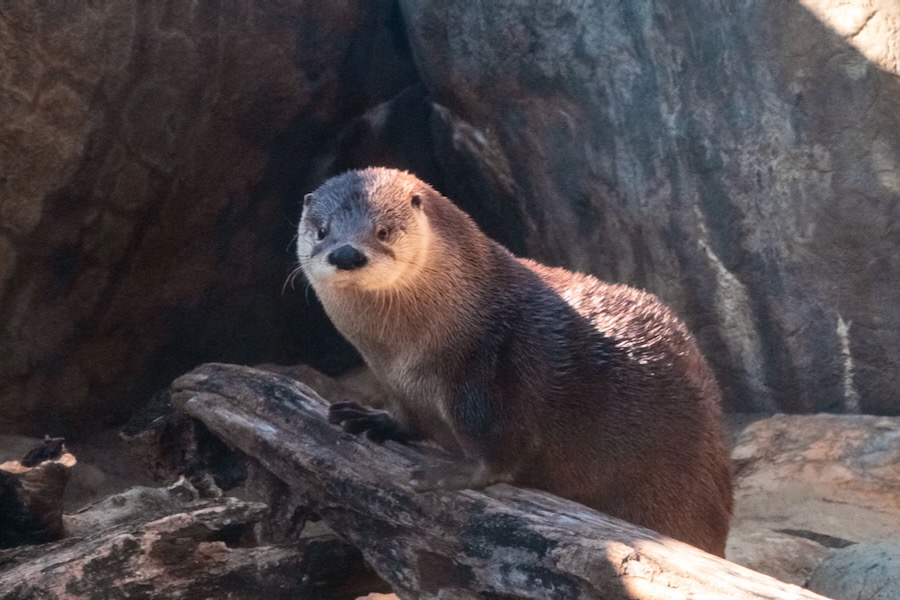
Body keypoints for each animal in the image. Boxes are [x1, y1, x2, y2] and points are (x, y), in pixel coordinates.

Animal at [296, 167, 732, 556]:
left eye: (383, 230)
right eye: (322, 231)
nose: (346, 253)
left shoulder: (491, 372)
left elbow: (501, 450)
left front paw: (451, 475)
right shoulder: (396, 384)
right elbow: (406, 418)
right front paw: (370, 419)